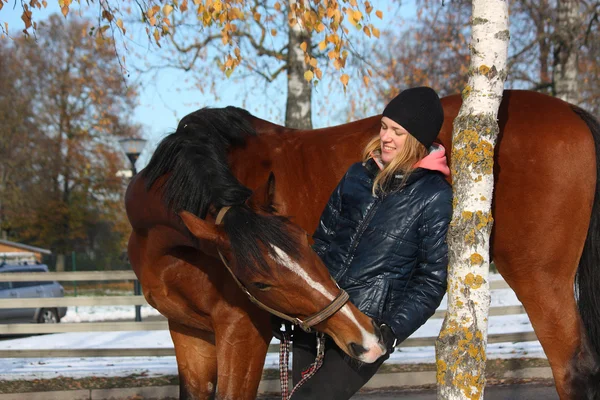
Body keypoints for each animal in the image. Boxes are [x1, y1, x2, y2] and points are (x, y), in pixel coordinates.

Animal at [124, 89, 596, 398]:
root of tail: (571, 112)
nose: (366, 337)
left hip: (540, 278)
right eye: (260, 281)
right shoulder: (188, 332)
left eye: (308, 244)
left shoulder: (242, 331)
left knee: (573, 369)